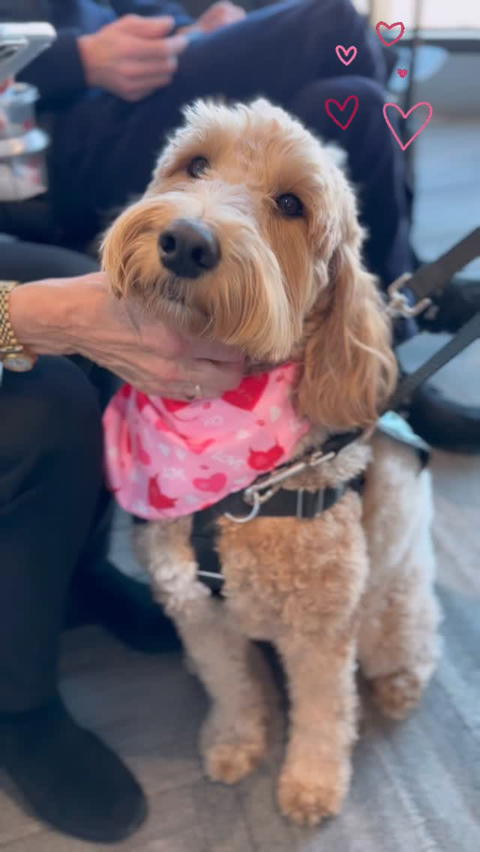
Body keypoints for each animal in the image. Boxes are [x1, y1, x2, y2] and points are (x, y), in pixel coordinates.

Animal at [102, 99, 441, 827]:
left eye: (291, 204)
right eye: (195, 163)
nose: (187, 242)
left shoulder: (320, 630)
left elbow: (323, 712)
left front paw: (310, 783)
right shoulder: (199, 613)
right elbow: (231, 686)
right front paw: (235, 740)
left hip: (391, 603)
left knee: (412, 642)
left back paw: (399, 684)